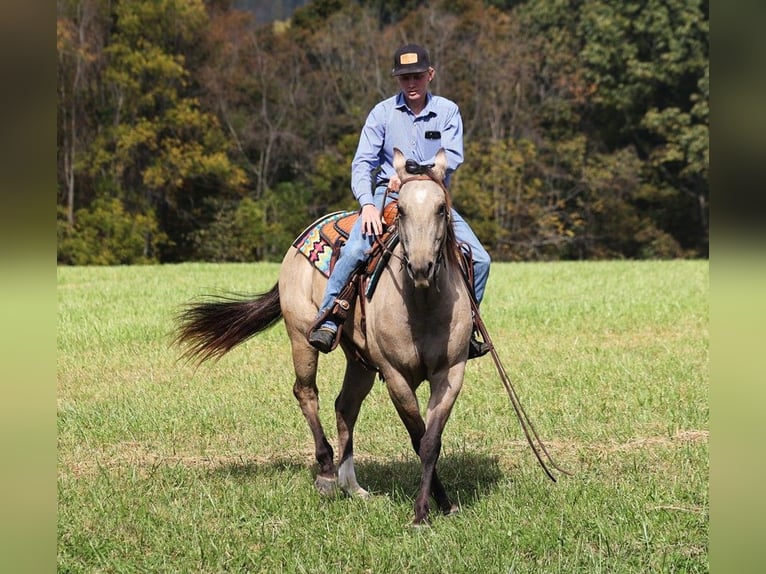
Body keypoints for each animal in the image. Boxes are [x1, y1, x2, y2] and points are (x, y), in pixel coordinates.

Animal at [176, 148, 474, 525]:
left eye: (441, 208)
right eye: (403, 210)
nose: (421, 267)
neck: (422, 304)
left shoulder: (450, 373)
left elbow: (431, 441)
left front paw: (442, 503)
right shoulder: (395, 376)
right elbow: (417, 436)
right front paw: (422, 511)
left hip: (361, 361)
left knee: (345, 406)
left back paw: (353, 487)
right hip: (301, 338)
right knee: (307, 393)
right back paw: (328, 473)